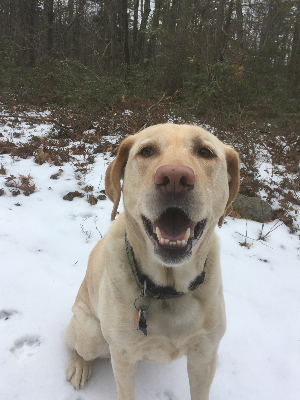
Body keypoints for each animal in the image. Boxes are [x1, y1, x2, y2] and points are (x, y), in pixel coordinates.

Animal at [65, 123, 239, 398]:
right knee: (75, 344)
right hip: (90, 333)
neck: (169, 289)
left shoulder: (205, 355)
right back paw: (79, 366)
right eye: (146, 151)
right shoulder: (123, 356)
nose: (175, 178)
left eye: (205, 152)